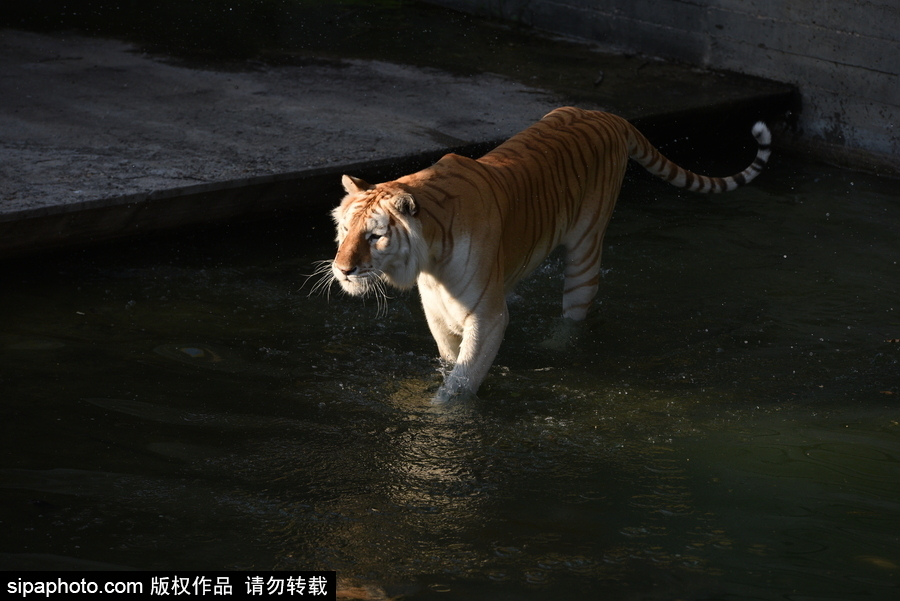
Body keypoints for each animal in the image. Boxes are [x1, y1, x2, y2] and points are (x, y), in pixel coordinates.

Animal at [324, 106, 771, 402]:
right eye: (345, 230)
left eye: (375, 236)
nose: (343, 270)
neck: (430, 257)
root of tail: (608, 114)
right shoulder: (437, 310)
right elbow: (450, 360)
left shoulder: (487, 315)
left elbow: (463, 379)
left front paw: (444, 411)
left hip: (585, 249)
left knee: (576, 311)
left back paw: (554, 347)